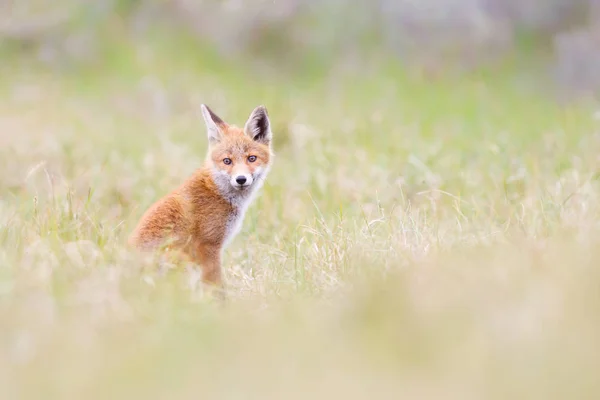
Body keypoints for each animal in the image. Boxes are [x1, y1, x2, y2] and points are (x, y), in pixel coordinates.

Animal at [130, 104, 276, 296]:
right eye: (227, 161)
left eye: (251, 158)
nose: (241, 179)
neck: (217, 192)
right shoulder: (208, 245)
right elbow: (215, 284)